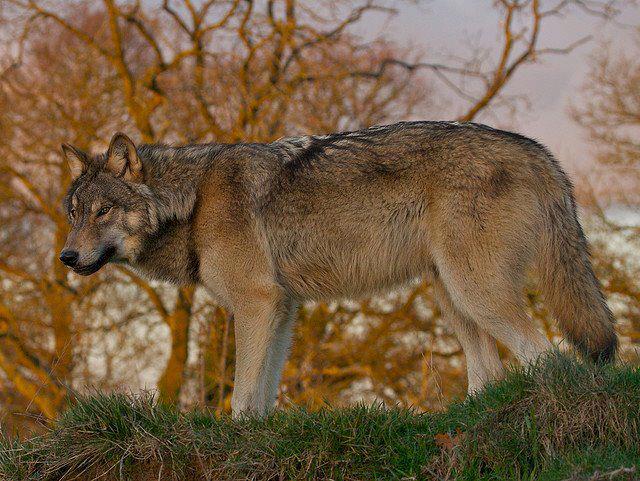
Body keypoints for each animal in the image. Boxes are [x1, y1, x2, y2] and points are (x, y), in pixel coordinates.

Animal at [60, 120, 616, 412]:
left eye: (103, 211)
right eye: (74, 213)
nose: (66, 256)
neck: (192, 203)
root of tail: (538, 150)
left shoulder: (257, 303)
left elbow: (241, 397)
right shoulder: (282, 309)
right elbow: (263, 395)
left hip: (476, 293)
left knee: (551, 358)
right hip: (452, 296)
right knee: (490, 371)